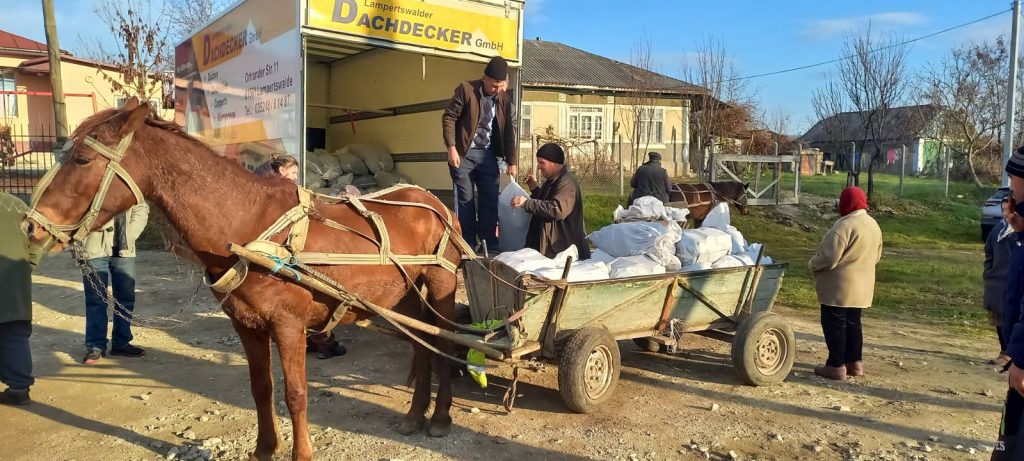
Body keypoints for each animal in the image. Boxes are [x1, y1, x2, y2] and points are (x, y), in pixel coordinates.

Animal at [23, 98, 464, 458]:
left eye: (82, 159)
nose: (31, 226)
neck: (249, 224)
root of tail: (434, 202)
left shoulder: (288, 326)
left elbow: (296, 394)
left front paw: (300, 453)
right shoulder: (247, 325)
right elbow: (261, 389)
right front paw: (265, 449)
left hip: (441, 288)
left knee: (444, 345)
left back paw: (441, 418)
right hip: (404, 297)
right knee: (422, 346)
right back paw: (415, 415)